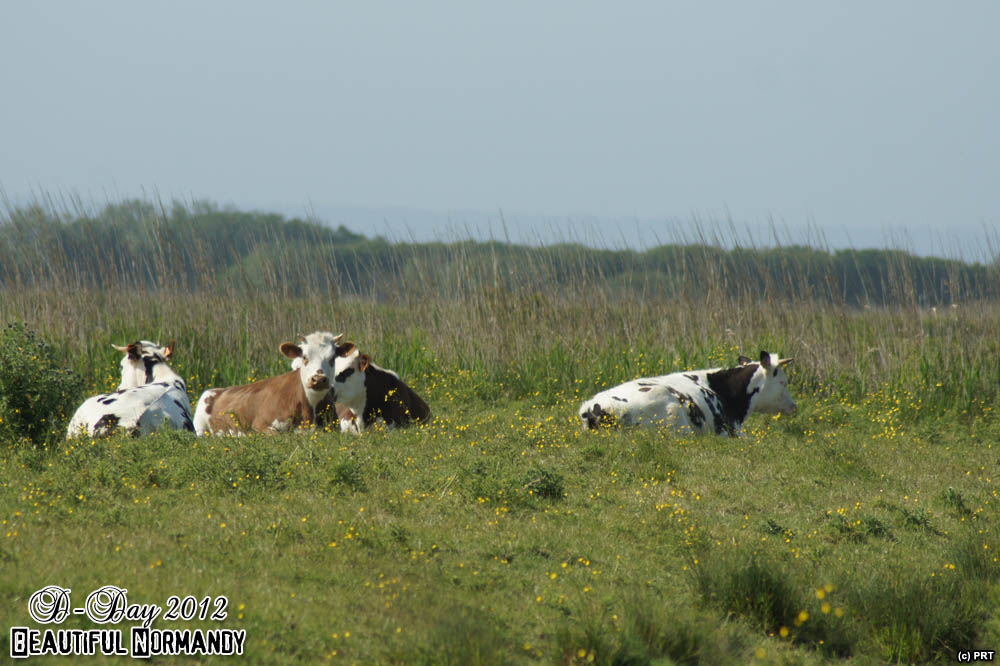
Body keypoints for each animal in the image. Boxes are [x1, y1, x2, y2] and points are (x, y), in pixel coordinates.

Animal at [193, 332, 362, 435]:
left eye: (333, 358)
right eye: (304, 357)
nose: (319, 379)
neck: (310, 409)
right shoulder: (260, 424)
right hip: (200, 426)